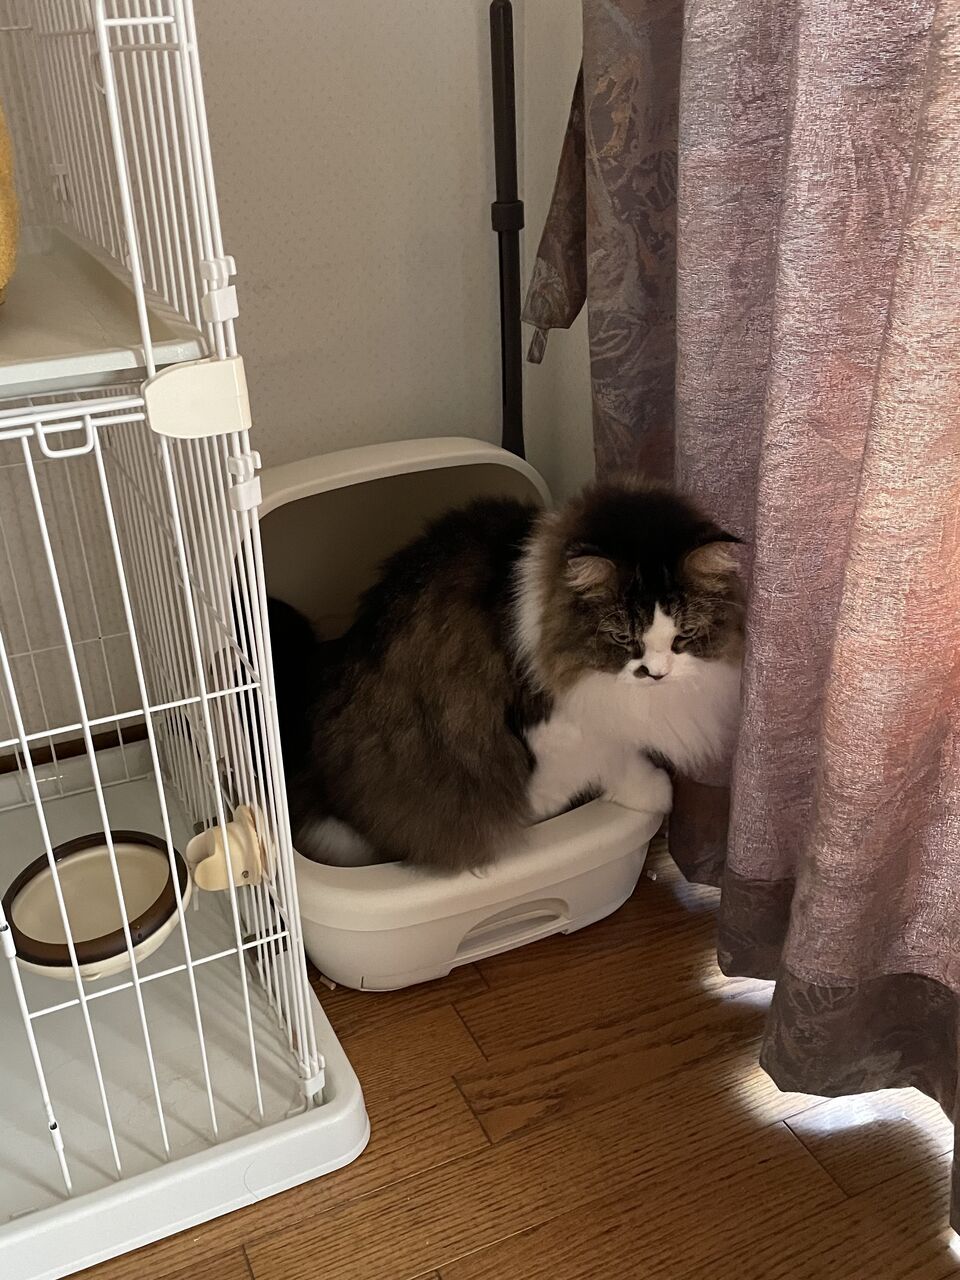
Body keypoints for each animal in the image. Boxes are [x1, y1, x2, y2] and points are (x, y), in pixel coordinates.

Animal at [270, 479, 744, 873]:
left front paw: (649, 792)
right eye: (623, 638)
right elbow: (567, 776)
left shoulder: (601, 721)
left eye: (683, 637)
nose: (657, 674)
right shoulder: (552, 724)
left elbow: (617, 756)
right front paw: (537, 818)